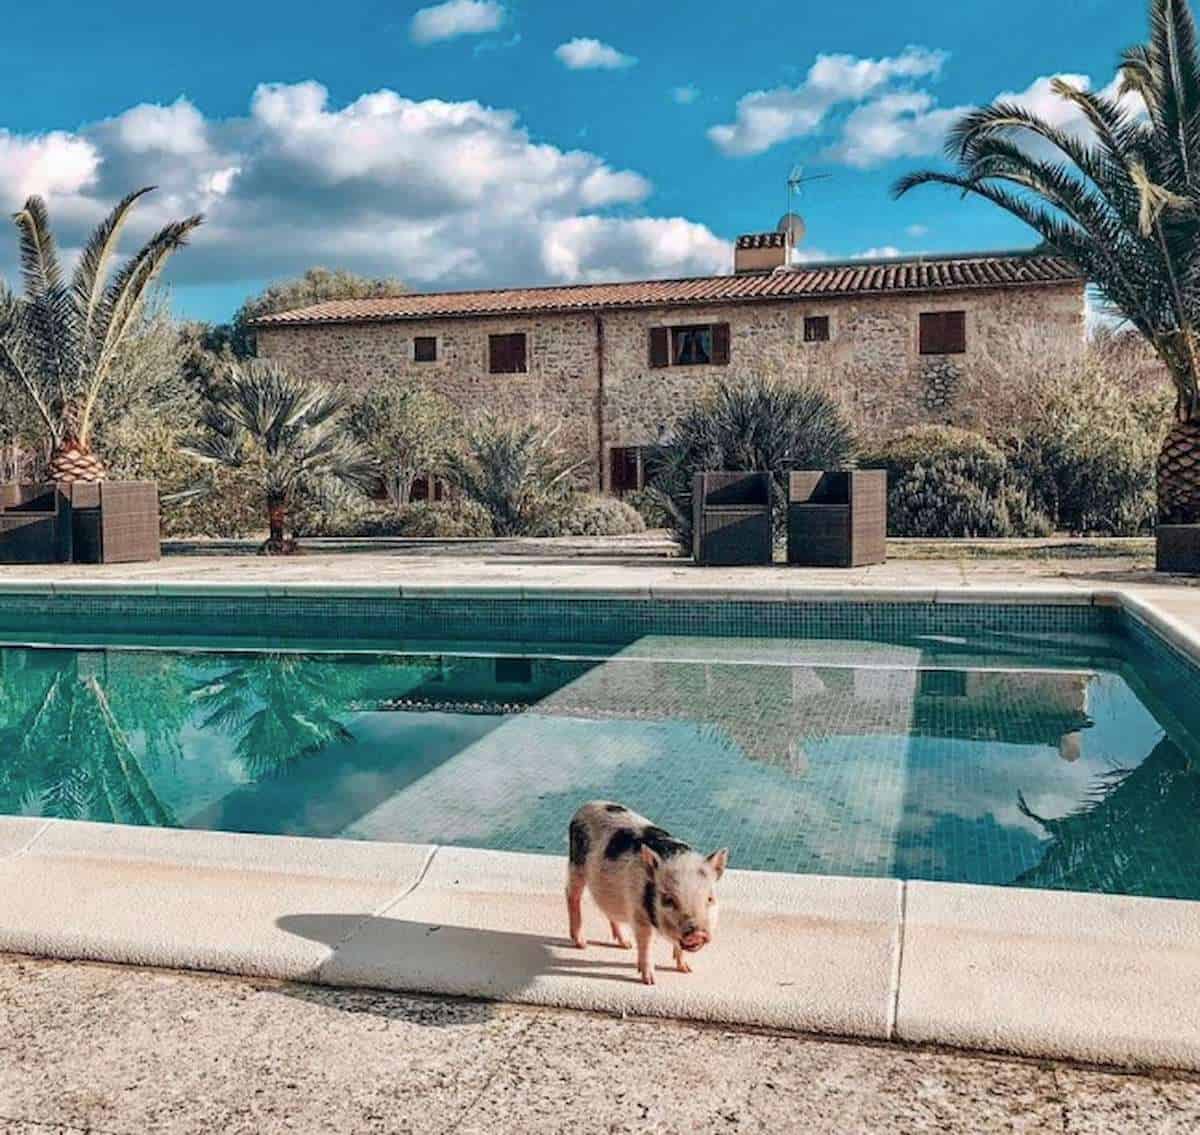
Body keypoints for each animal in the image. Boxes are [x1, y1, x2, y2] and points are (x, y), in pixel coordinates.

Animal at [564, 796, 724, 983]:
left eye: (710, 899)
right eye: (668, 900)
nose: (697, 932)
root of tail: (585, 806)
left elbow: (678, 947)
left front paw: (686, 970)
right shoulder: (638, 914)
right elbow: (646, 942)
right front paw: (650, 981)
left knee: (609, 910)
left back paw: (626, 945)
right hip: (576, 864)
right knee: (571, 894)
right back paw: (582, 944)